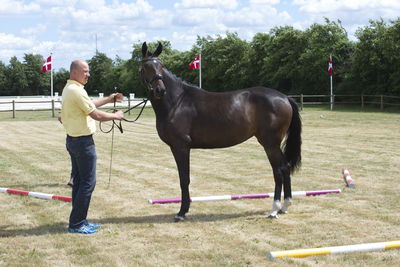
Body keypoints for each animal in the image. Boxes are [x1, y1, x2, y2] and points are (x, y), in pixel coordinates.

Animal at [142, 42, 302, 222]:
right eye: (146, 66)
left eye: (161, 66)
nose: (160, 90)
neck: (177, 101)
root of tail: (285, 98)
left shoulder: (180, 147)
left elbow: (184, 179)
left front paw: (182, 212)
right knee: (286, 168)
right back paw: (285, 206)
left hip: (270, 144)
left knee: (279, 171)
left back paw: (274, 209)